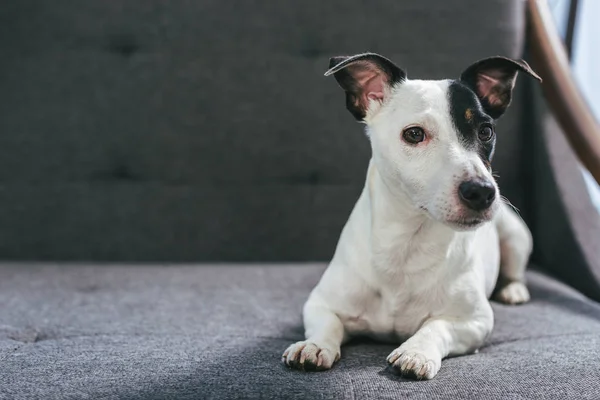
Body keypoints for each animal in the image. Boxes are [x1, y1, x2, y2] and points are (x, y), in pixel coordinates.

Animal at [284, 52, 540, 378]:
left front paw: (416, 351)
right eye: (414, 134)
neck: (407, 243)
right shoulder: (319, 303)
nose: (482, 191)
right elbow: (327, 323)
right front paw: (315, 345)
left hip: (515, 234)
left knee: (515, 268)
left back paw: (513, 289)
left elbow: (437, 326)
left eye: (486, 131)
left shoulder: (475, 321)